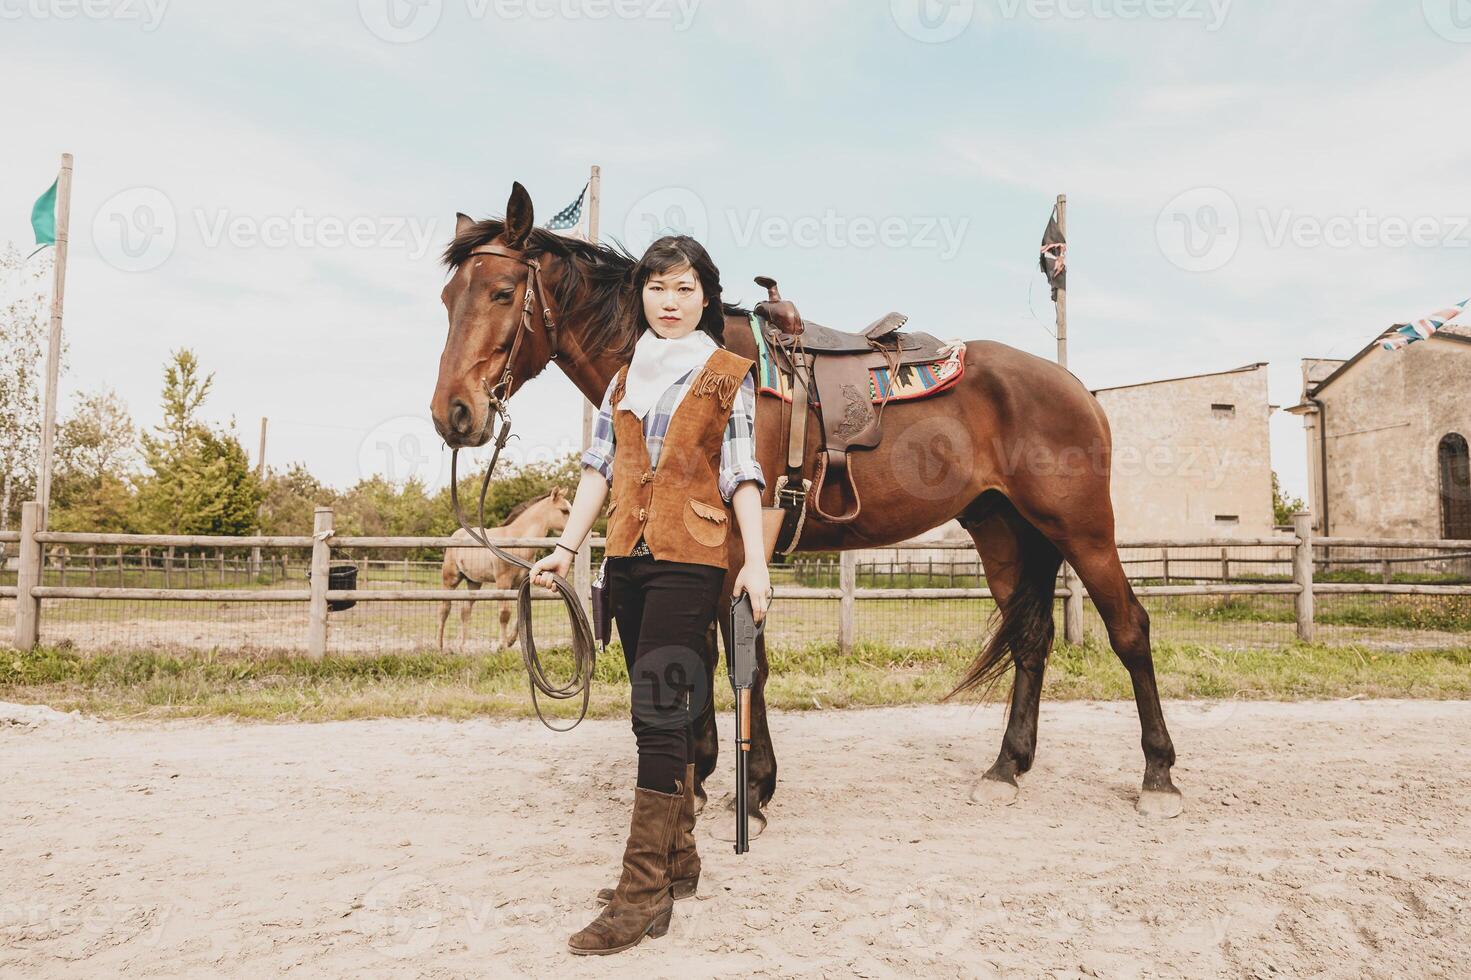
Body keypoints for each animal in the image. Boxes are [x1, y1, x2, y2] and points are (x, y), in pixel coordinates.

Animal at [429, 179, 1182, 829]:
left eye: (502, 291)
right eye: (445, 299)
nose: (453, 414)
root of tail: (1075, 388)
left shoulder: (741, 547)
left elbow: (745, 662)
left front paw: (755, 787)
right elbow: (700, 655)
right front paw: (702, 776)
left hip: (1082, 530)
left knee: (1129, 628)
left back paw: (1158, 777)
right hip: (1001, 530)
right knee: (1031, 638)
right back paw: (1006, 768)